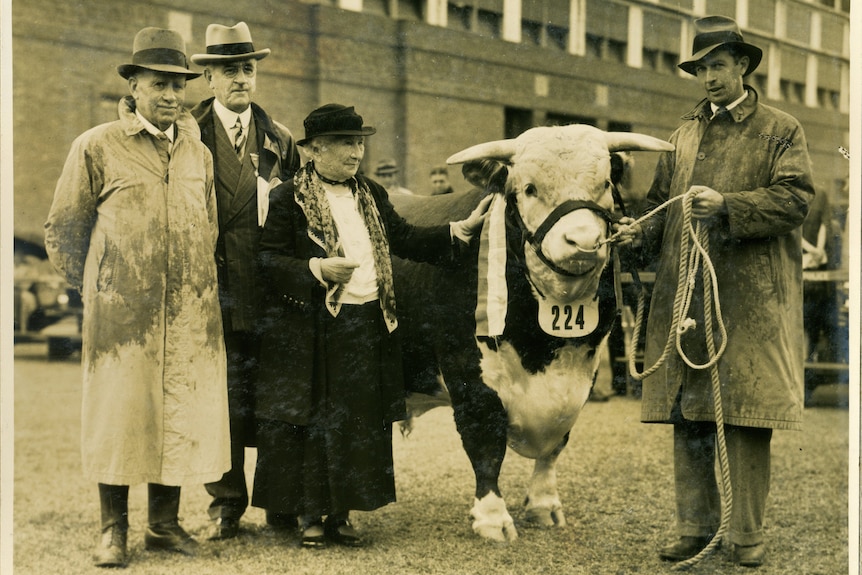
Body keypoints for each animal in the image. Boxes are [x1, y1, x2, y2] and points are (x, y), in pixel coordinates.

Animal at [392, 124, 676, 544]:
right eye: (529, 188)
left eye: (605, 183)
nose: (582, 241)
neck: (545, 347)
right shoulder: (470, 378)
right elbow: (485, 445)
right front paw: (492, 517)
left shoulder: (581, 376)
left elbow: (556, 444)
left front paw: (544, 505)